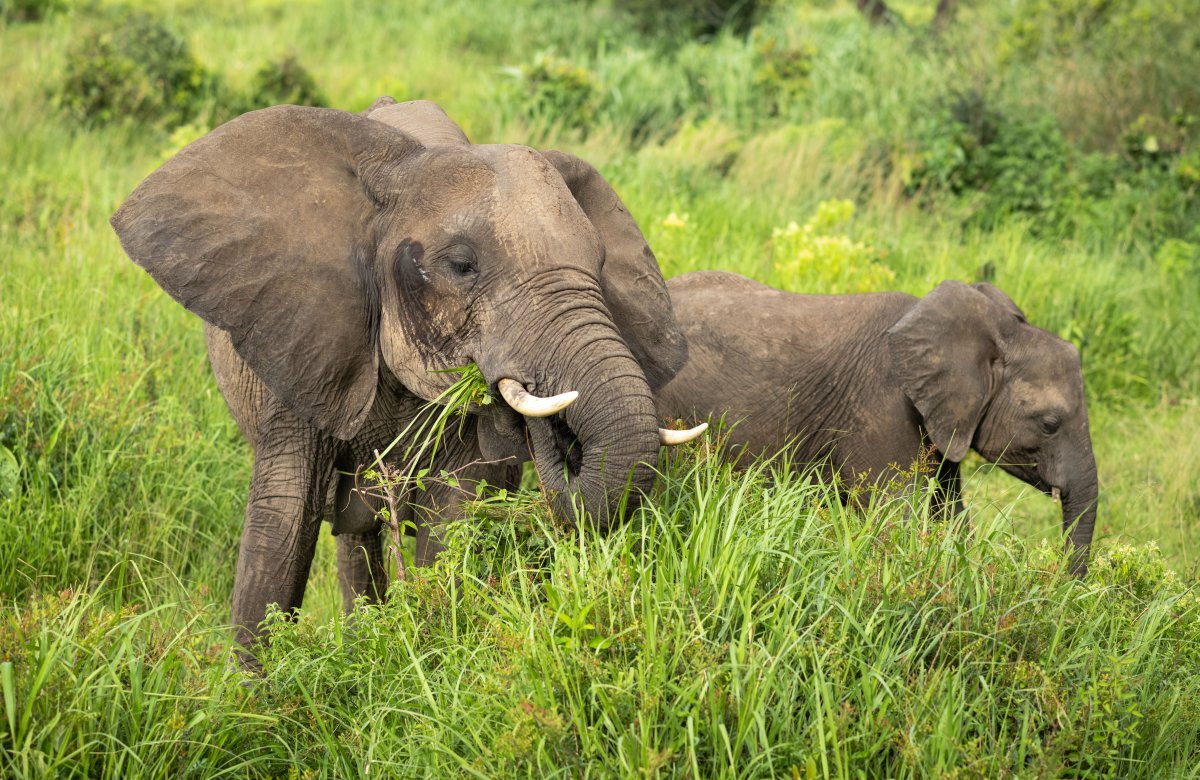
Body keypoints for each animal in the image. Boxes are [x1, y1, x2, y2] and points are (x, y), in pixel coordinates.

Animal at [112, 95, 700, 657]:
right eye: (461, 266)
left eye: (598, 265)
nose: (541, 415)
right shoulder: (301, 339)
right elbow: (283, 524)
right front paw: (255, 691)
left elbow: (454, 514)